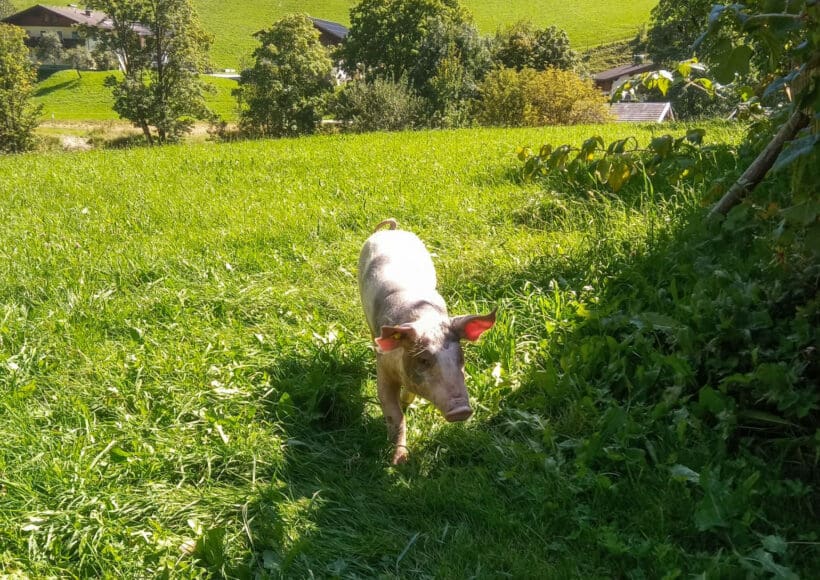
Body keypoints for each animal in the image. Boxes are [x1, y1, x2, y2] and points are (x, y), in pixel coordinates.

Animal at [360, 220, 500, 464]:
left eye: (460, 357)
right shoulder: (383, 367)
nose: (462, 410)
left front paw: (406, 403)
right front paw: (398, 462)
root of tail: (392, 230)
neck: (424, 319)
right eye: (424, 360)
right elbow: (394, 414)